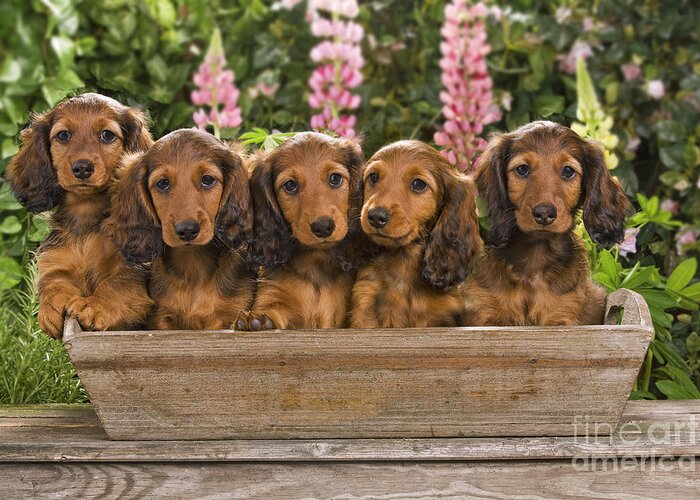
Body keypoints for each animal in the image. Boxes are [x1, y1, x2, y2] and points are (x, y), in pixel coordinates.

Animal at [5, 92, 154, 338]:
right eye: (63, 135)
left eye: (107, 135)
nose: (82, 167)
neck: (86, 213)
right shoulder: (57, 260)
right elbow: (55, 281)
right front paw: (50, 307)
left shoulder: (136, 267)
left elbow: (117, 284)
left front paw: (93, 305)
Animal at [105, 129, 253, 332]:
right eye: (162, 183)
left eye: (207, 180)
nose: (188, 230)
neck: (193, 271)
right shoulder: (162, 319)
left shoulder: (233, 311)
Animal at [237, 132, 366, 332]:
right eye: (290, 185)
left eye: (335, 178)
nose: (323, 227)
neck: (315, 263)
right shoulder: (273, 293)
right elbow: (271, 308)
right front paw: (258, 319)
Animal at [468, 119, 628, 326]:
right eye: (522, 169)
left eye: (568, 171)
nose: (544, 214)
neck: (534, 261)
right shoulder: (486, 315)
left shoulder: (561, 317)